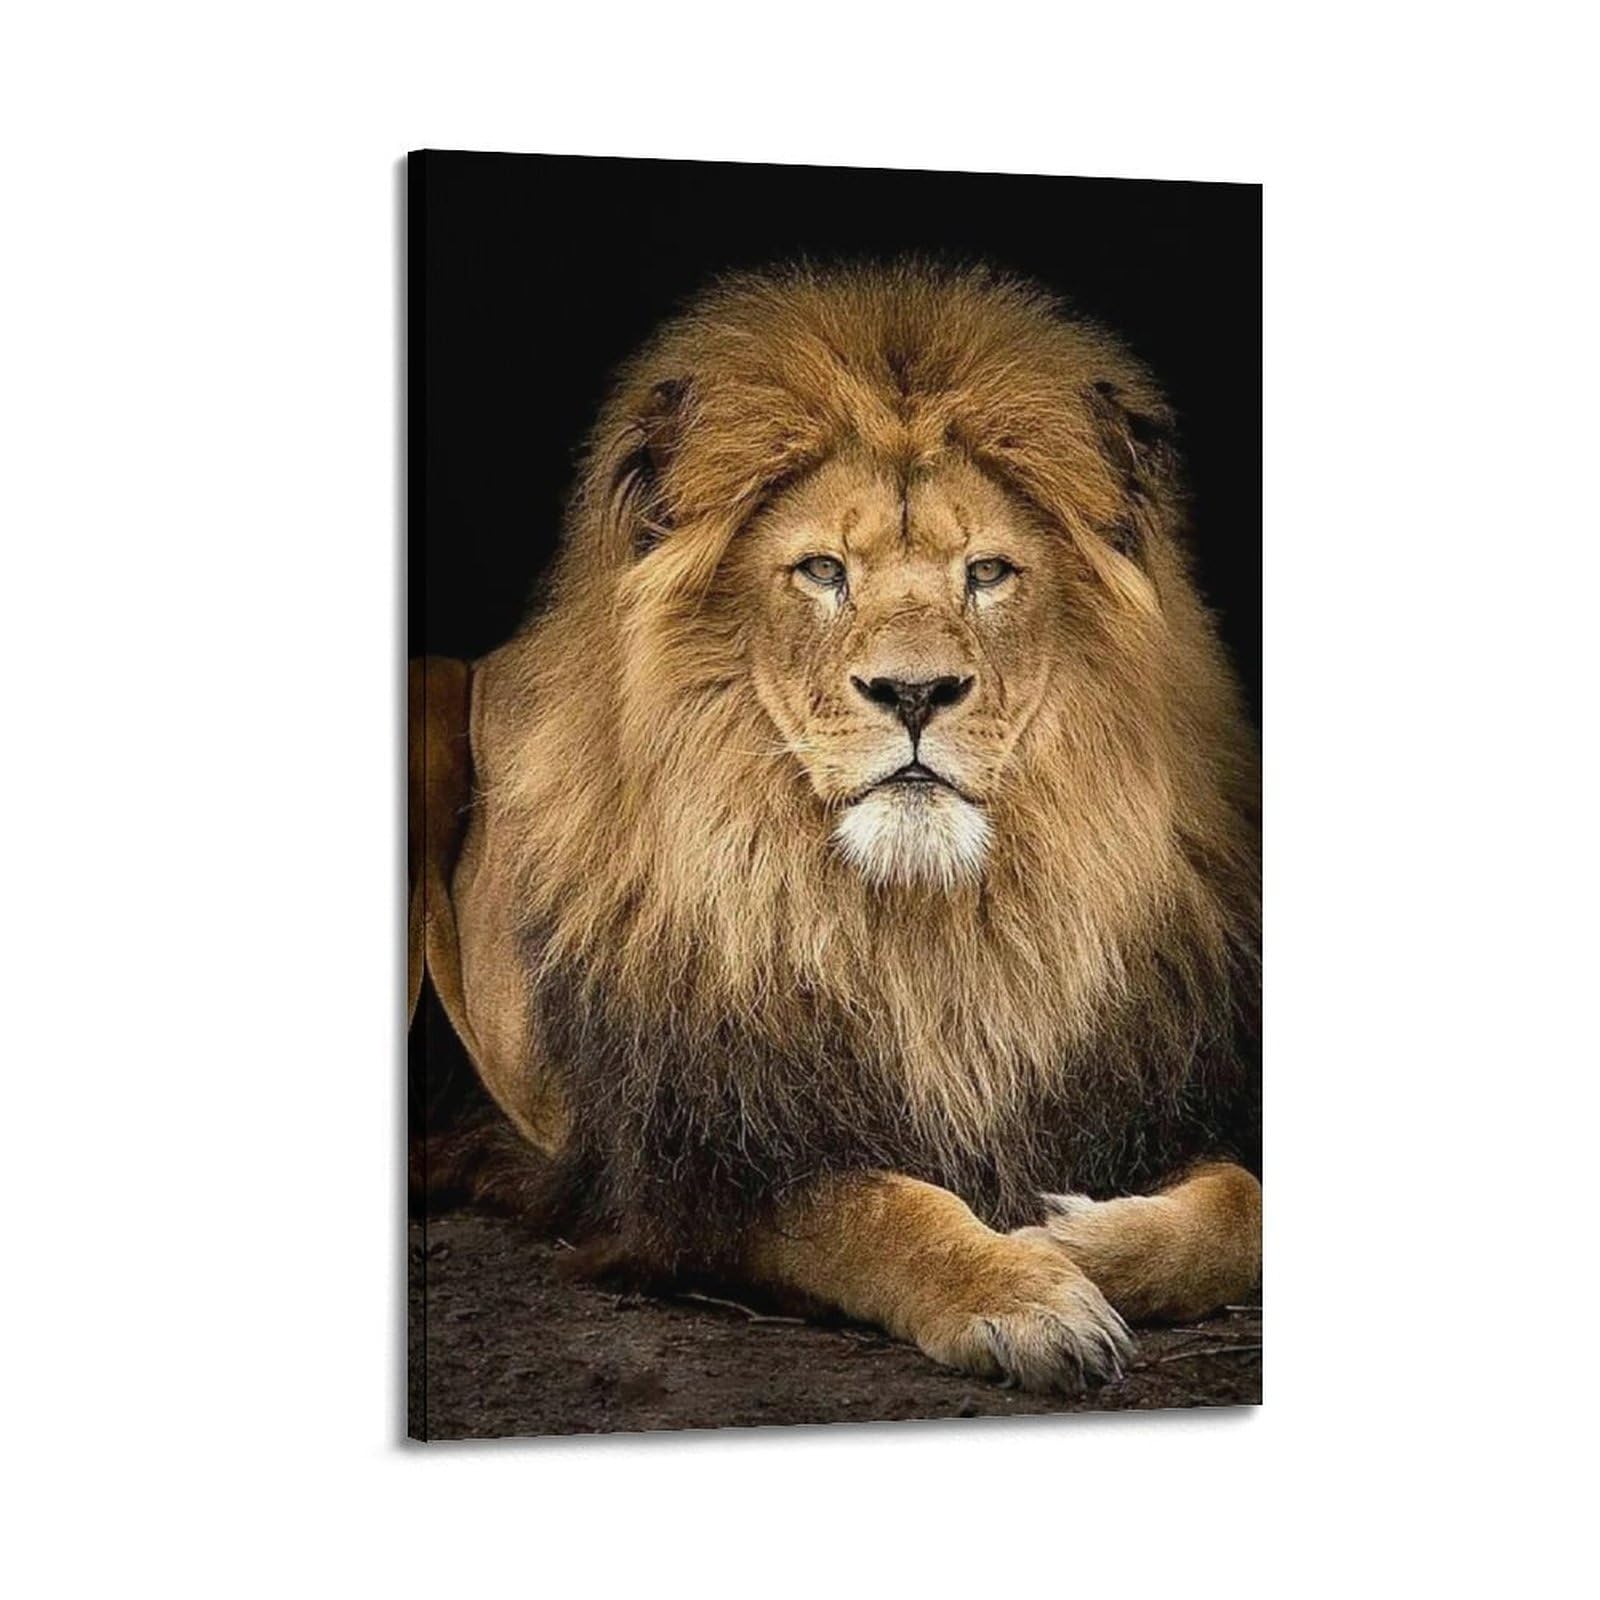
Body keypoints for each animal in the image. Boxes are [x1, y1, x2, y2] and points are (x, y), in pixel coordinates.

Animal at [409, 261, 1261, 1393]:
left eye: (986, 572)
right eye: (821, 570)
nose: (915, 691)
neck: (919, 924)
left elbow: (1244, 1205)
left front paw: (1072, 1238)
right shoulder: (696, 1171)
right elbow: (883, 1208)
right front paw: (1020, 1291)